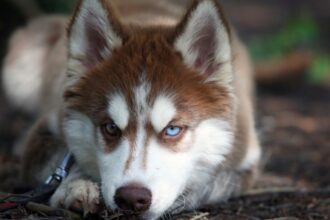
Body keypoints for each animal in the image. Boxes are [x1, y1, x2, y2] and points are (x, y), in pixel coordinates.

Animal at [1, 0, 260, 218]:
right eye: (110, 128)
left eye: (173, 129)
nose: (132, 198)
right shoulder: (46, 133)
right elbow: (67, 161)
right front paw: (76, 185)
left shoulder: (245, 157)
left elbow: (214, 181)